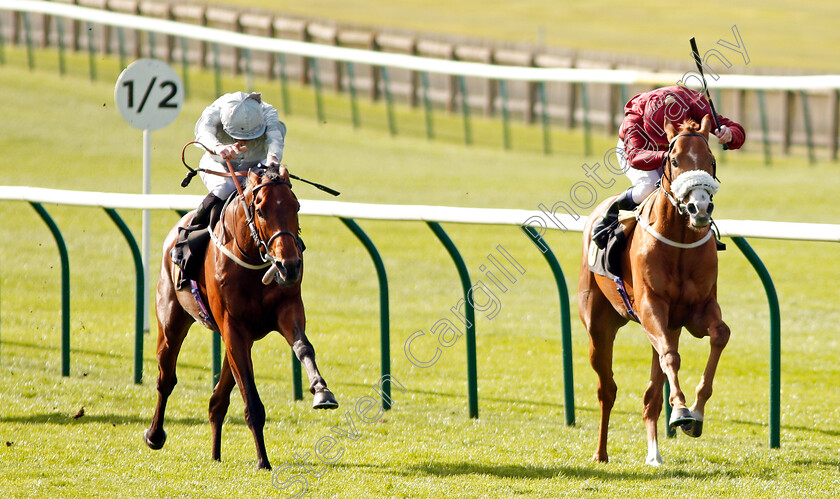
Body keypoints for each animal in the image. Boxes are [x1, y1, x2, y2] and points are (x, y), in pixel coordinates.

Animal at [144, 165, 338, 472]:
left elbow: (304, 347)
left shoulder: (287, 309)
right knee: (166, 378)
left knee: (217, 400)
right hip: (171, 321)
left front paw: (322, 391)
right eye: (260, 210)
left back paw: (215, 454)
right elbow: (251, 398)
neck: (253, 260)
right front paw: (263, 461)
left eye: (296, 206)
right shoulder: (234, 328)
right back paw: (154, 435)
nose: (289, 265)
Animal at [580, 115, 732, 466]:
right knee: (607, 389)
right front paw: (682, 411)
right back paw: (601, 452)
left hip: (668, 327)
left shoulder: (697, 311)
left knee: (652, 393)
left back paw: (654, 453)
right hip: (599, 326)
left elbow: (719, 334)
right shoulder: (651, 307)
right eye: (674, 160)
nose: (699, 207)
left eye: (711, 160)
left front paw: (695, 413)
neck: (680, 241)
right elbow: (671, 357)